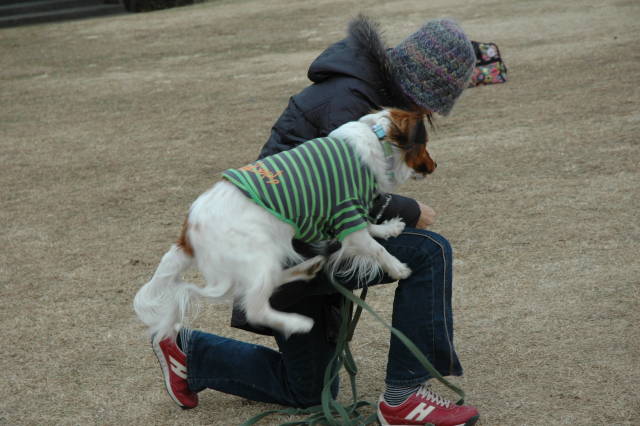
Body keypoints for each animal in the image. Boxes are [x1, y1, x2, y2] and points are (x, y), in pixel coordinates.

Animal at [134, 108, 436, 342]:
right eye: (425, 144)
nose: (434, 166)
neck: (378, 136)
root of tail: (187, 233)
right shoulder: (346, 212)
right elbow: (376, 248)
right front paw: (398, 267)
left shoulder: (346, 217)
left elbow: (371, 228)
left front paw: (388, 228)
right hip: (260, 253)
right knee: (255, 308)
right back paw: (296, 323)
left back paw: (308, 268)